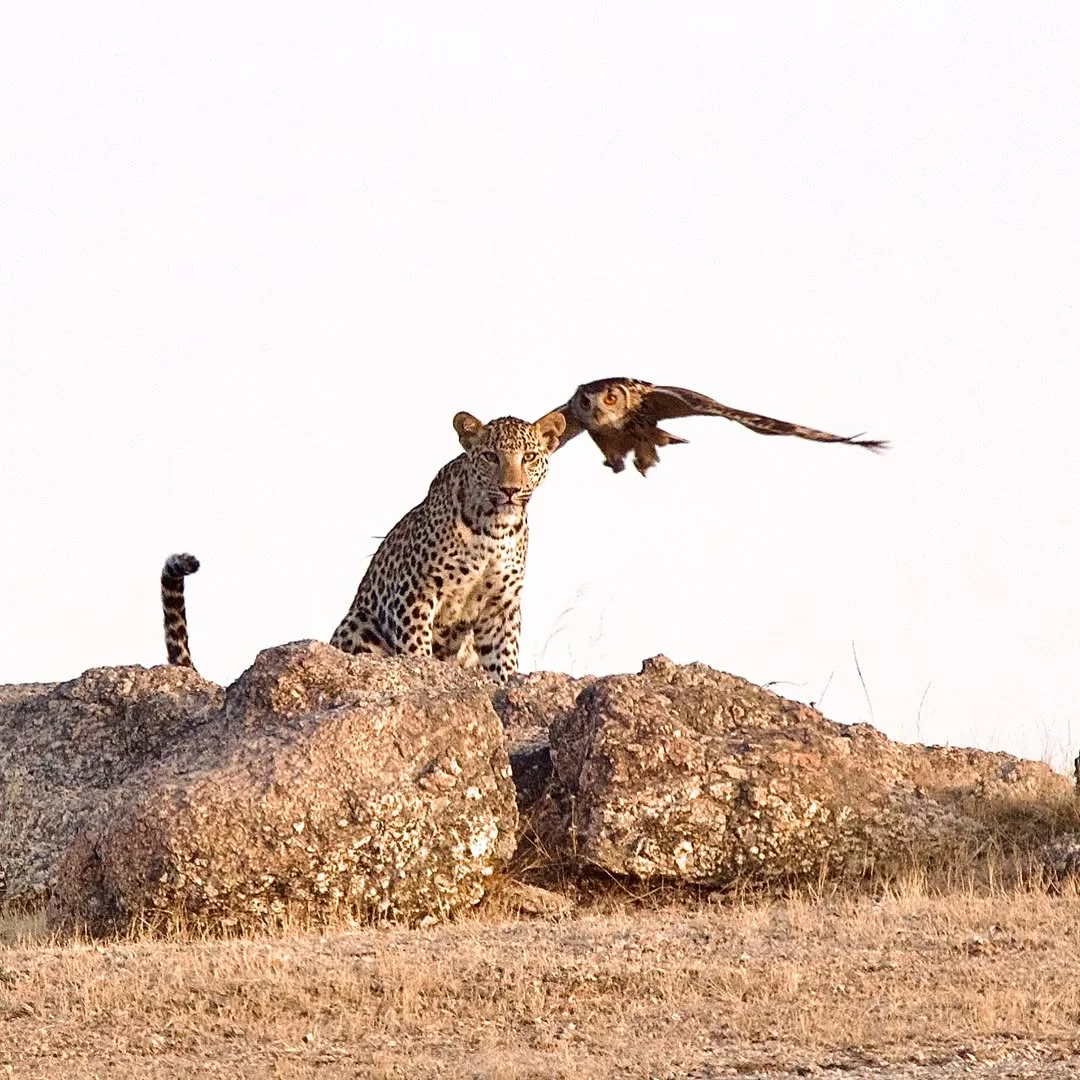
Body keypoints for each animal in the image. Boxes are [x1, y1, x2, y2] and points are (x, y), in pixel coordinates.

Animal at [160, 409, 565, 683]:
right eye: (490, 457)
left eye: (529, 457)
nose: (511, 489)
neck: (493, 528)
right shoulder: (414, 594)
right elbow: (416, 649)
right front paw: (424, 674)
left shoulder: (501, 605)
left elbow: (503, 658)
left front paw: (506, 685)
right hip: (359, 625)